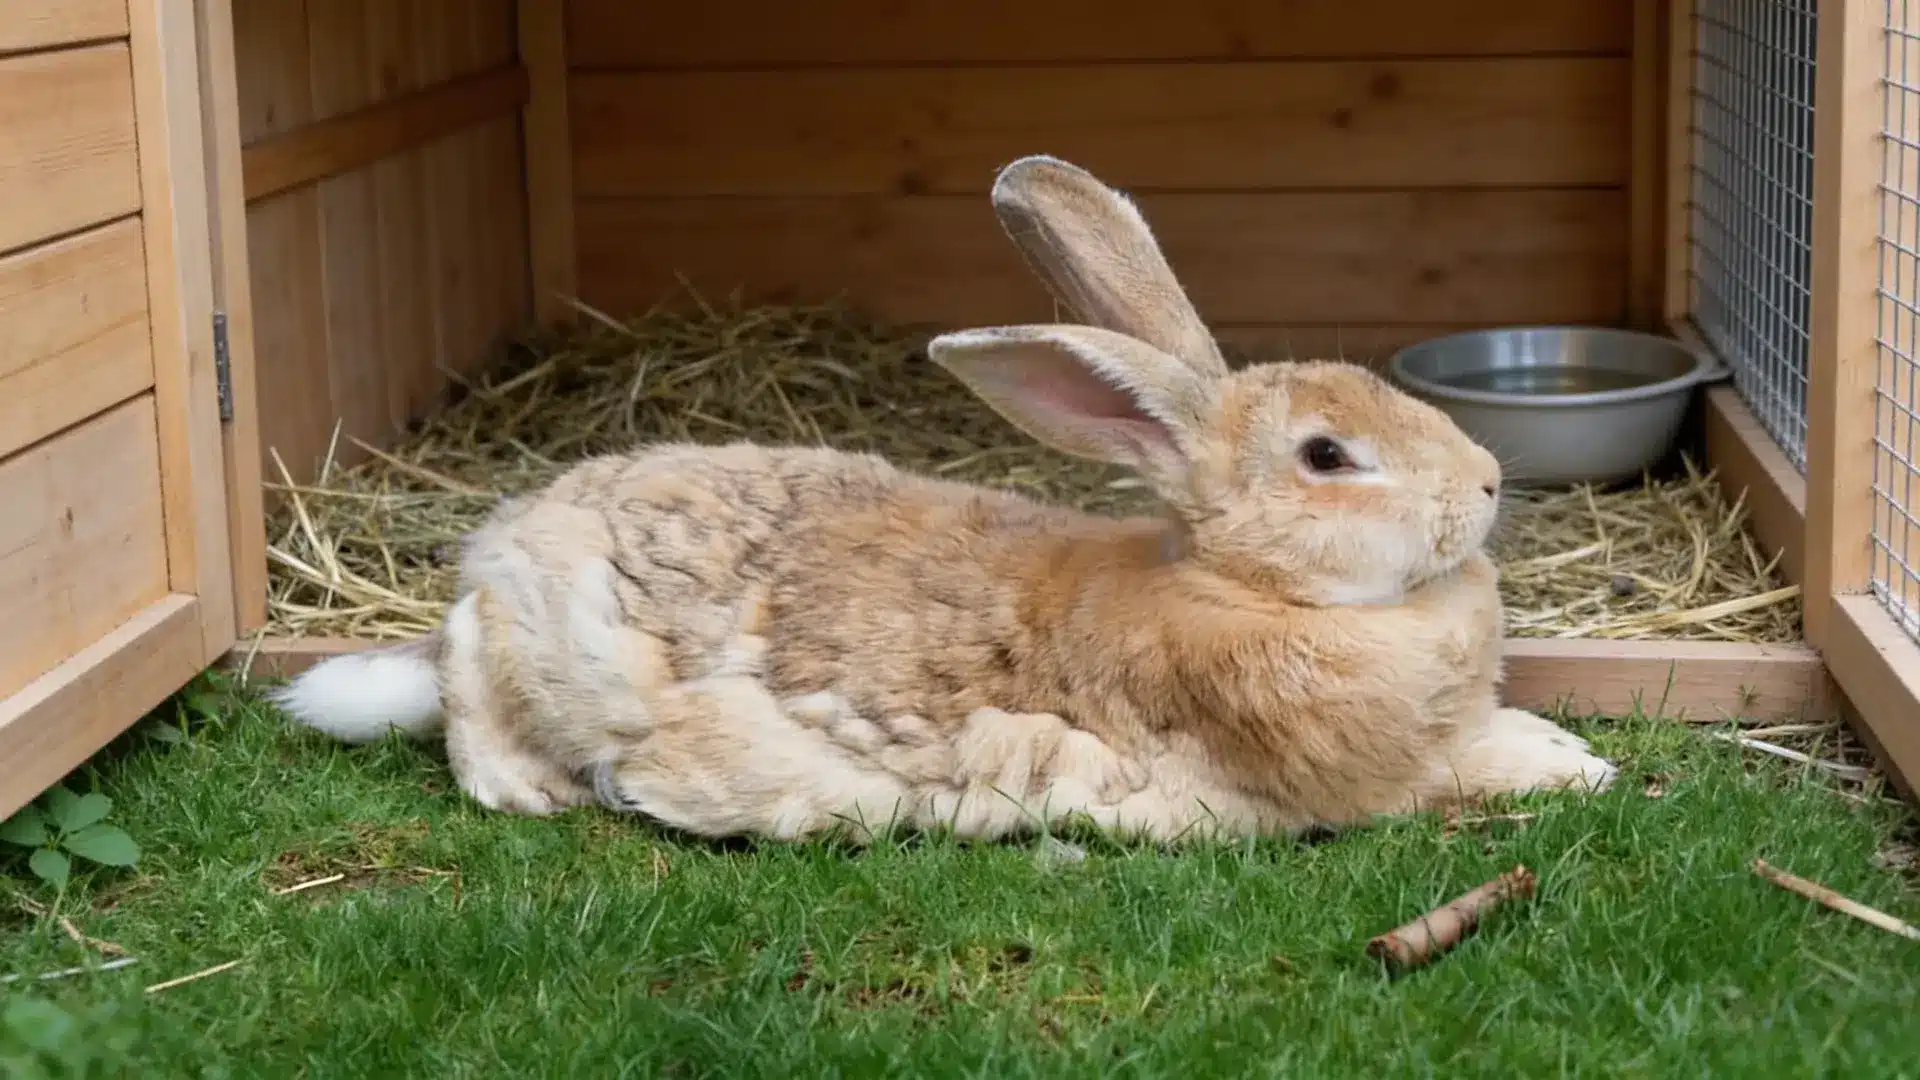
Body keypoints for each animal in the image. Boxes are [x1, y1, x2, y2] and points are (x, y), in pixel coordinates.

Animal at [272, 154, 1618, 844]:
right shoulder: (1346, 786)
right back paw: (526, 785)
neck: (1244, 589)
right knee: (463, 681)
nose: (1487, 483)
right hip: (537, 637)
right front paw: (1581, 772)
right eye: (1329, 456)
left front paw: (1570, 749)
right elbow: (1458, 774)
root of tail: (520, 532)